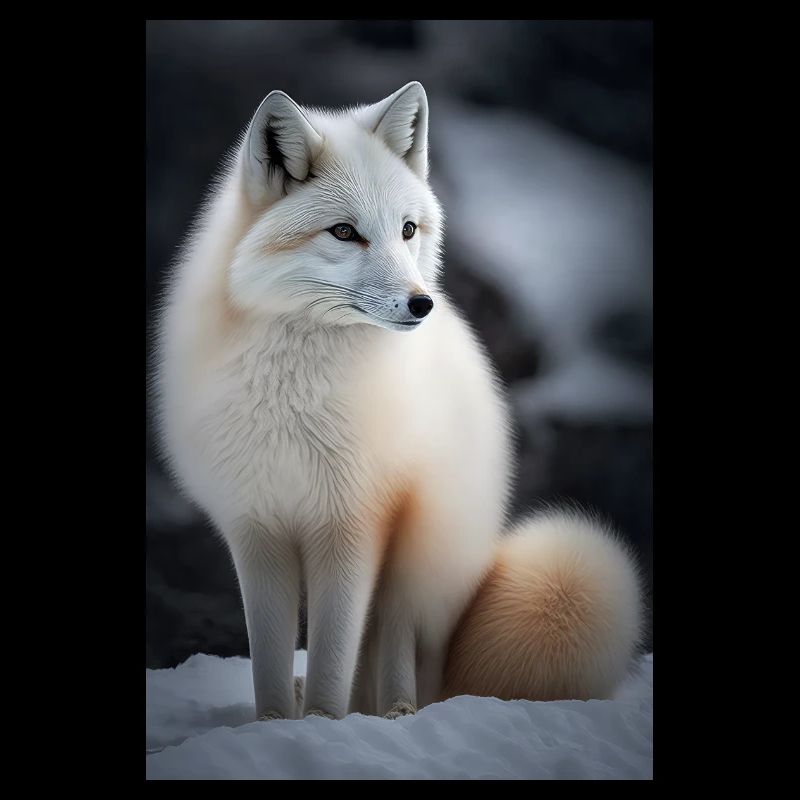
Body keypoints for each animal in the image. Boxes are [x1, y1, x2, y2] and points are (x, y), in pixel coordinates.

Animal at [154, 80, 643, 722]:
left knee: (396, 645)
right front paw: (276, 725)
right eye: (344, 232)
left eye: (408, 229)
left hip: (414, 562)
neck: (292, 396)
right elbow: (270, 666)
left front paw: (322, 726)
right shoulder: (257, 530)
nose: (422, 304)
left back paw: (396, 713)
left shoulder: (353, 523)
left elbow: (335, 659)